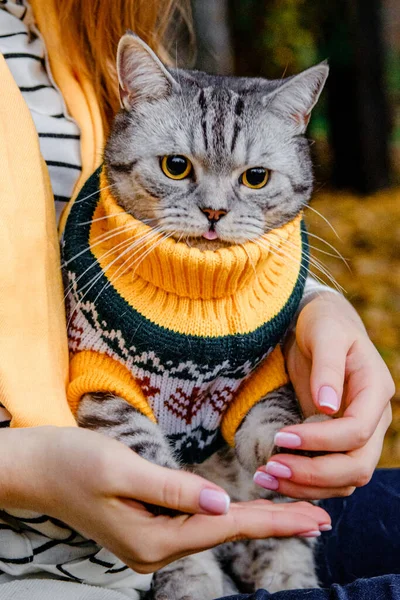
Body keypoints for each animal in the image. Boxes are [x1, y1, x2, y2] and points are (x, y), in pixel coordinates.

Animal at [61, 34, 328, 600]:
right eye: (176, 167)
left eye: (256, 178)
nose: (214, 212)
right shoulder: (99, 381)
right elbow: (140, 444)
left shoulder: (265, 375)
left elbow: (275, 415)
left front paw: (284, 447)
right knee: (194, 571)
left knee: (284, 557)